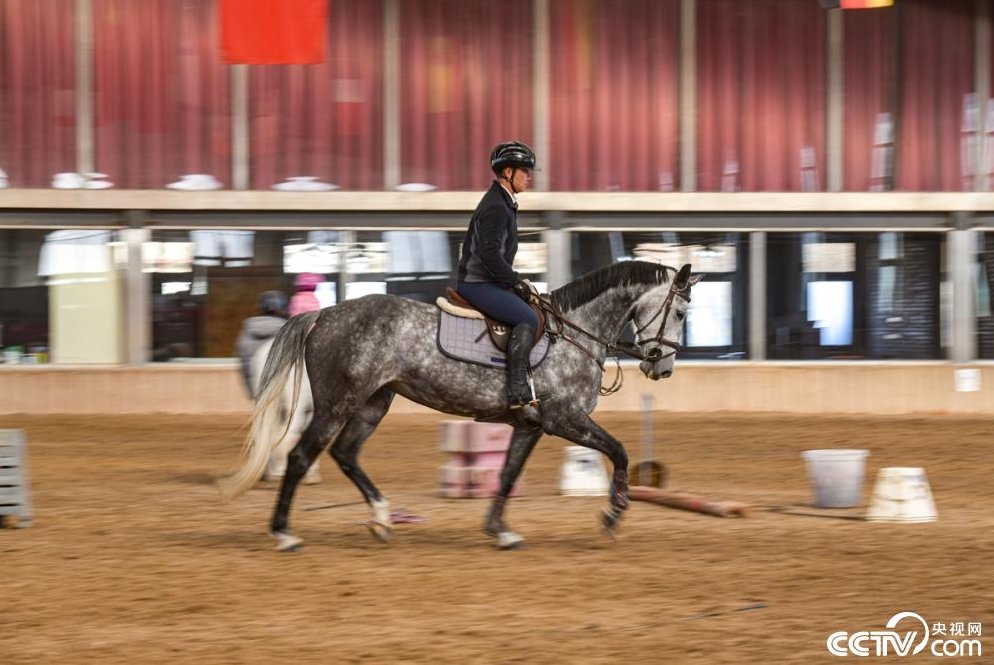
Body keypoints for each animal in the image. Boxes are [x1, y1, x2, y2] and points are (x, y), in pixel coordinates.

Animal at [219, 260, 696, 548]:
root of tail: (324, 315)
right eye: (680, 313)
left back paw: (381, 516)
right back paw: (284, 533)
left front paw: (499, 531)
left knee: (345, 453)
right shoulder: (565, 418)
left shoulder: (531, 425)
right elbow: (619, 450)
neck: (577, 332)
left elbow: (507, 474)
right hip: (337, 402)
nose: (663, 367)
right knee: (302, 456)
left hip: (373, 402)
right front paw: (614, 514)